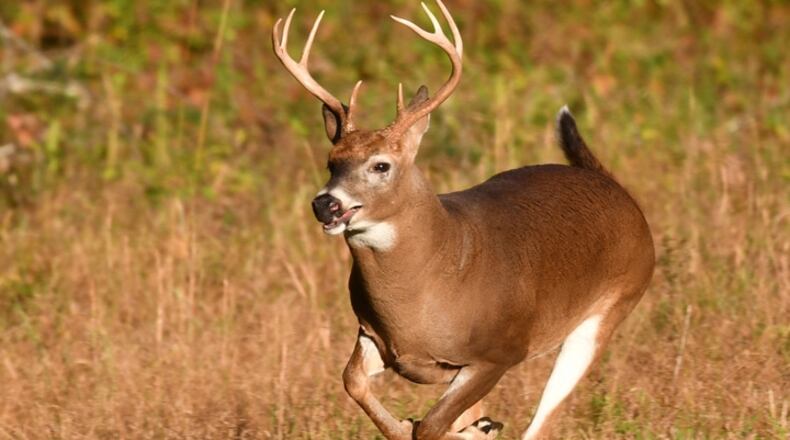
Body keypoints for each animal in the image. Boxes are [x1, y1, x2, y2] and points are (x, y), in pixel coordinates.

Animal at [272, 1, 654, 439]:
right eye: (331, 162)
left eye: (381, 165)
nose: (326, 205)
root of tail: (613, 185)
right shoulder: (372, 334)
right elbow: (352, 381)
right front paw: (408, 423)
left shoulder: (500, 352)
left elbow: (430, 425)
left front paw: (425, 424)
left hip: (609, 309)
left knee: (540, 423)